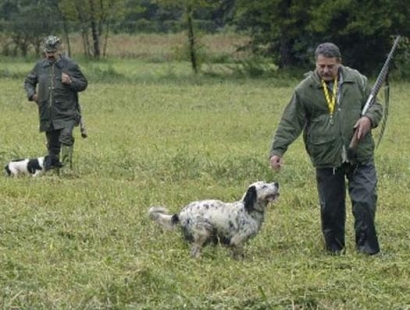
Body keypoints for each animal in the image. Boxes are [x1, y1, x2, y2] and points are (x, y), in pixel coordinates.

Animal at [149, 182, 280, 260]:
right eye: (264, 186)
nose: (276, 183)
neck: (248, 209)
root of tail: (181, 213)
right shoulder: (237, 241)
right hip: (203, 232)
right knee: (194, 252)